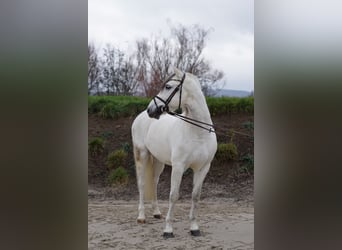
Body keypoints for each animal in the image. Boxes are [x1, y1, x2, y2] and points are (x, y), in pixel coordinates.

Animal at [131, 68, 216, 238]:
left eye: (168, 87)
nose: (151, 110)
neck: (198, 133)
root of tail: (140, 116)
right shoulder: (178, 167)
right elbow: (173, 195)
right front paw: (168, 230)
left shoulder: (203, 168)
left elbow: (195, 196)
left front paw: (194, 228)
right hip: (143, 155)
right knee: (142, 184)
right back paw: (141, 217)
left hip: (158, 161)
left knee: (154, 183)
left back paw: (156, 213)